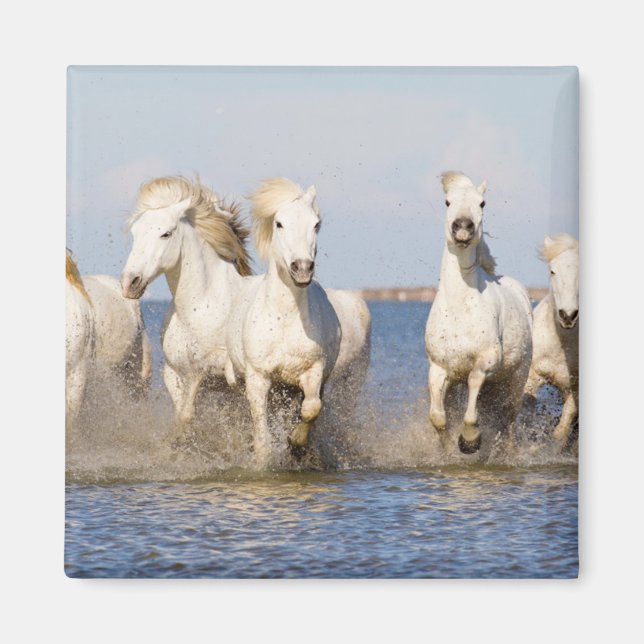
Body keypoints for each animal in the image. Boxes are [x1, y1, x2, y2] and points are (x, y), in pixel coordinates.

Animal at [120, 176, 252, 439]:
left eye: (165, 234)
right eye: (135, 234)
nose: (130, 283)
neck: (199, 308)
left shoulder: (221, 372)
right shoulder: (173, 373)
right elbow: (184, 415)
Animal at [225, 177, 371, 467]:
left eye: (316, 224)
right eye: (279, 223)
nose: (302, 268)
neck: (283, 319)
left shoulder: (313, 371)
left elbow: (312, 408)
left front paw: (295, 442)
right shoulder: (258, 378)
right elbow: (262, 435)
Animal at [425, 171, 533, 456]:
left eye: (482, 203)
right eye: (447, 202)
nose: (463, 226)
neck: (459, 309)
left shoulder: (487, 361)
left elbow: (473, 394)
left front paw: (470, 440)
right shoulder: (439, 368)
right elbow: (437, 417)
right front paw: (448, 448)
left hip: (515, 380)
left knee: (508, 418)